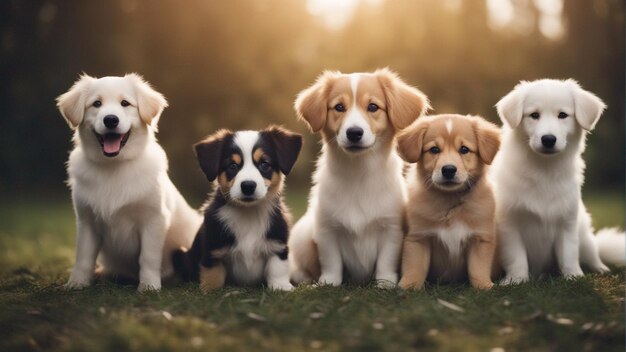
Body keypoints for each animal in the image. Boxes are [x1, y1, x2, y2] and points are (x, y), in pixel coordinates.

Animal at [56, 73, 201, 292]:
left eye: (125, 103)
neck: (114, 166)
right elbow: (83, 256)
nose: (110, 119)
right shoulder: (86, 220)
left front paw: (149, 286)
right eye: (96, 104)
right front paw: (77, 283)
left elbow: (148, 257)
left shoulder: (153, 219)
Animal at [173, 126, 302, 292]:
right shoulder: (213, 250)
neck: (248, 212)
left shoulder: (278, 245)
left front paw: (281, 286)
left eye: (264, 164)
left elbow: (278, 268)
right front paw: (209, 290)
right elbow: (212, 276)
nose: (248, 186)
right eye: (232, 166)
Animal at [288, 68, 428, 286]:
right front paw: (329, 283)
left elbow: (386, 261)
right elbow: (331, 261)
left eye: (373, 107)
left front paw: (385, 284)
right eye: (339, 107)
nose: (354, 133)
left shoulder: (391, 228)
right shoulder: (327, 228)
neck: (358, 171)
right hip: (302, 235)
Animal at [398, 114, 500, 290]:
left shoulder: (480, 239)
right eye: (434, 149)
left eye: (464, 149)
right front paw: (408, 286)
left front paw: (484, 286)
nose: (449, 170)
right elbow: (415, 267)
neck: (449, 198)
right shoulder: (418, 238)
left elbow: (478, 268)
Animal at [490, 79, 620, 284]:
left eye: (563, 115)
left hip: (584, 234)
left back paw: (600, 269)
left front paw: (574, 277)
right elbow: (516, 257)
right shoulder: (509, 223)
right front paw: (516, 280)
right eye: (534, 115)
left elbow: (568, 255)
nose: (549, 139)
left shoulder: (567, 222)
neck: (544, 170)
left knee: (592, 252)